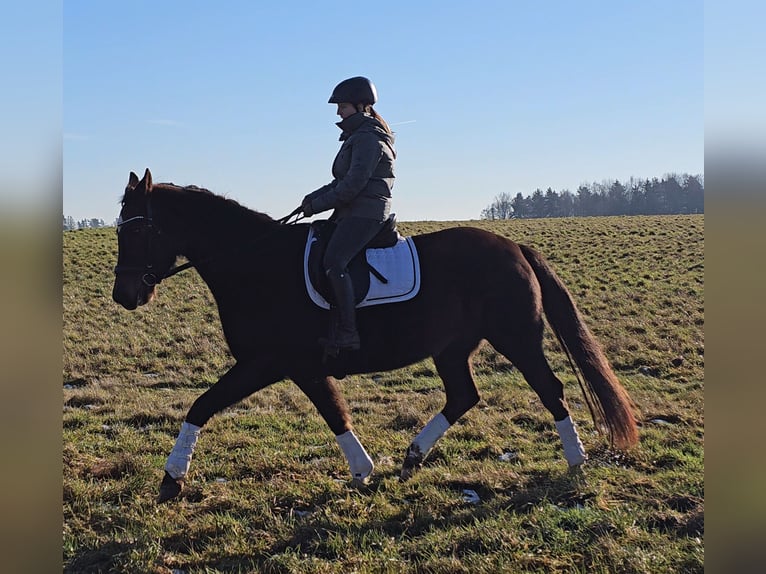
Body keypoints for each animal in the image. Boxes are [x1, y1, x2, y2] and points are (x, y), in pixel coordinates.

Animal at [114, 168, 640, 504]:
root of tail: (515, 246)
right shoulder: (297, 367)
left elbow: (203, 405)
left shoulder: (270, 363)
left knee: (550, 389)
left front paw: (171, 479)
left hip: (517, 339)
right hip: (452, 349)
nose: (124, 295)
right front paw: (364, 472)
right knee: (463, 396)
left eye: (136, 232)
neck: (256, 263)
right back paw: (411, 458)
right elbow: (333, 412)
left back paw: (576, 461)